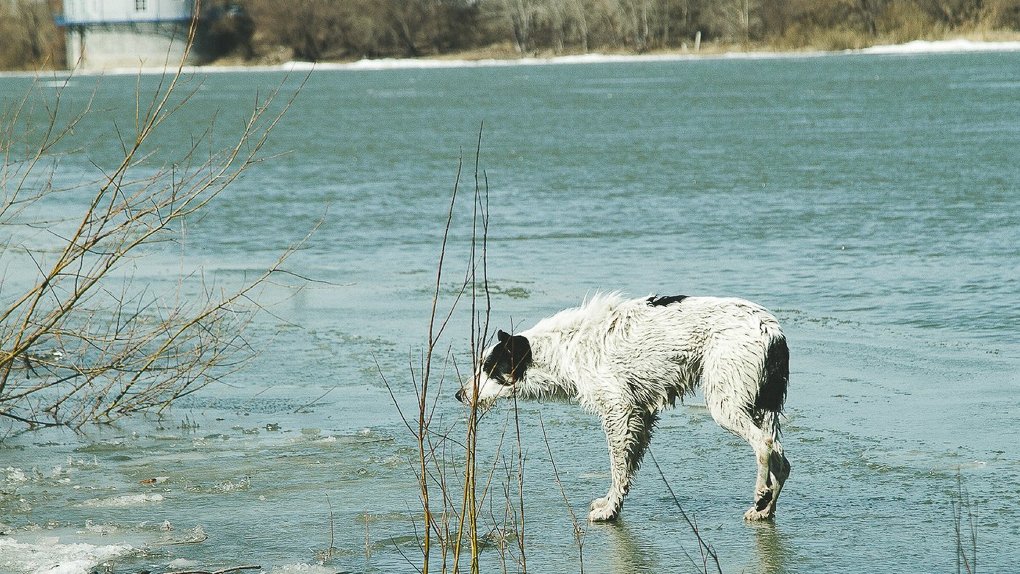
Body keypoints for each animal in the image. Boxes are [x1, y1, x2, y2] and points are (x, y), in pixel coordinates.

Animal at [459, 293, 791, 522]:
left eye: (490, 369)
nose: (459, 395)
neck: (565, 348)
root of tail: (772, 331)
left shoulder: (619, 410)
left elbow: (618, 467)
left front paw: (609, 510)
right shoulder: (641, 414)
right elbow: (627, 469)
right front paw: (612, 504)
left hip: (726, 403)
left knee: (764, 444)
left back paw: (761, 495)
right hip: (758, 404)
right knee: (782, 461)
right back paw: (765, 510)